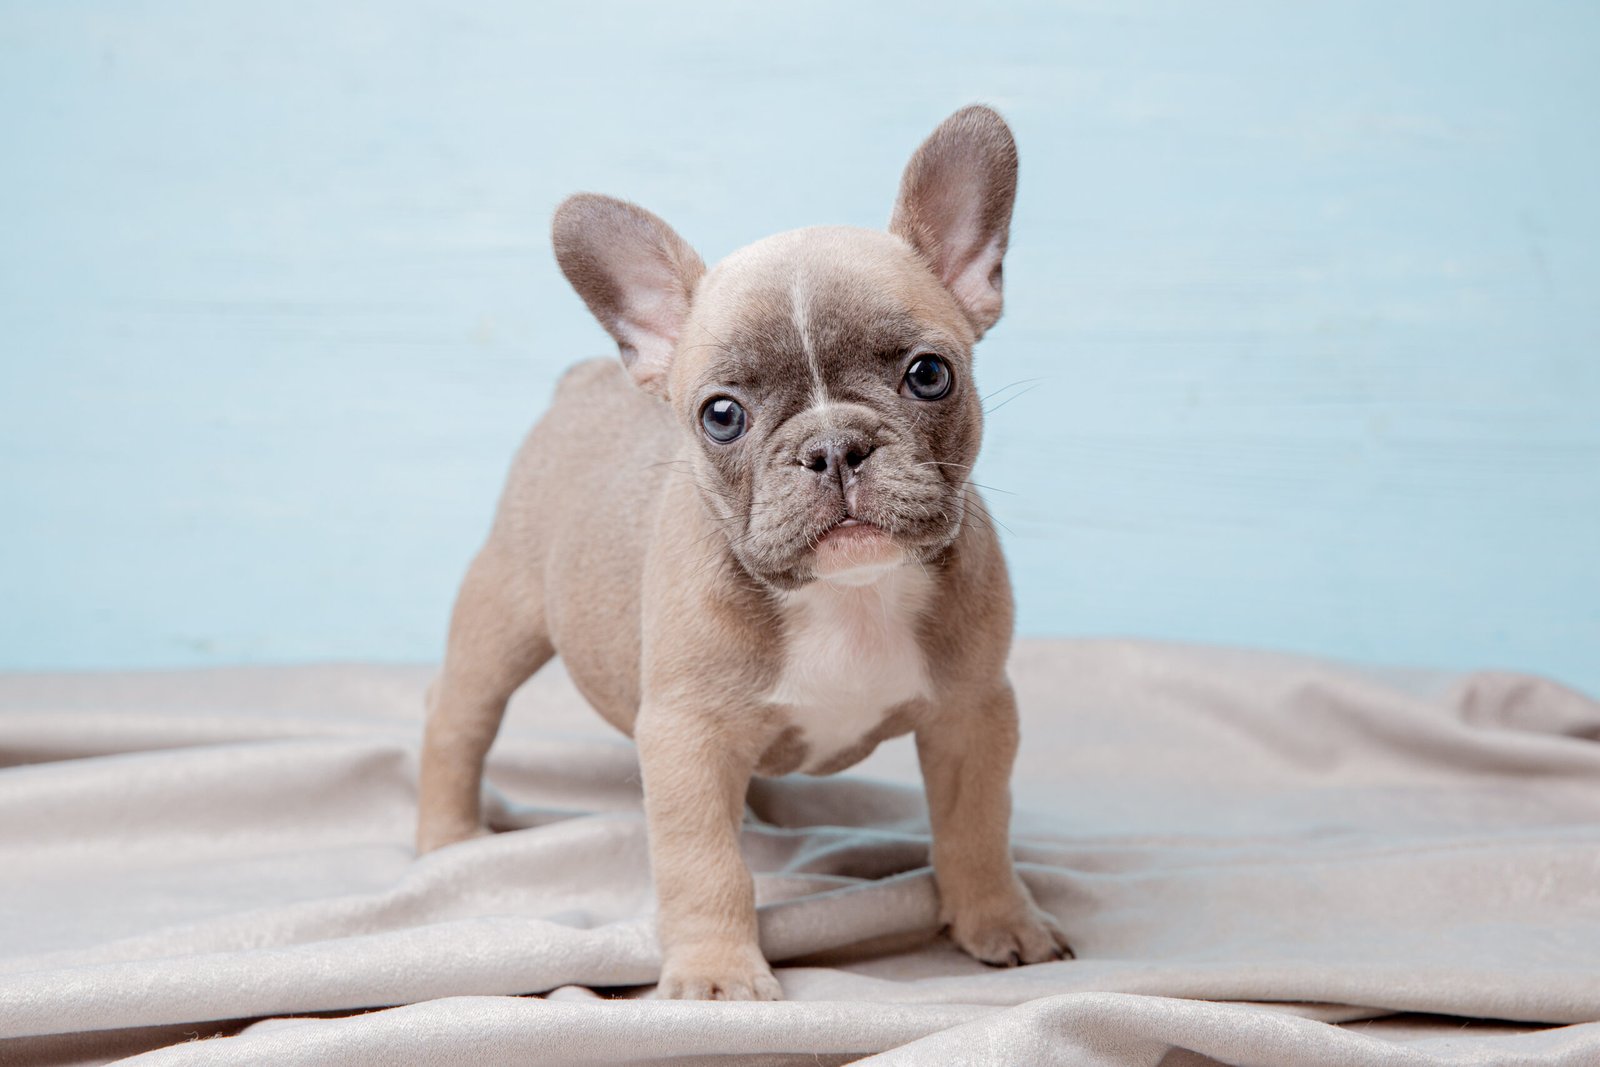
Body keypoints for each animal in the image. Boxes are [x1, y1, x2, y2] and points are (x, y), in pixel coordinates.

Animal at [419, 106, 1075, 1004]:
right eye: (722, 415)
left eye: (929, 374)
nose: (833, 447)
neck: (849, 593)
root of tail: (582, 378)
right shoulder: (687, 737)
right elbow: (705, 863)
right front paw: (718, 973)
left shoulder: (973, 712)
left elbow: (977, 826)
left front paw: (999, 921)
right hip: (502, 612)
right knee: (459, 720)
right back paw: (446, 840)